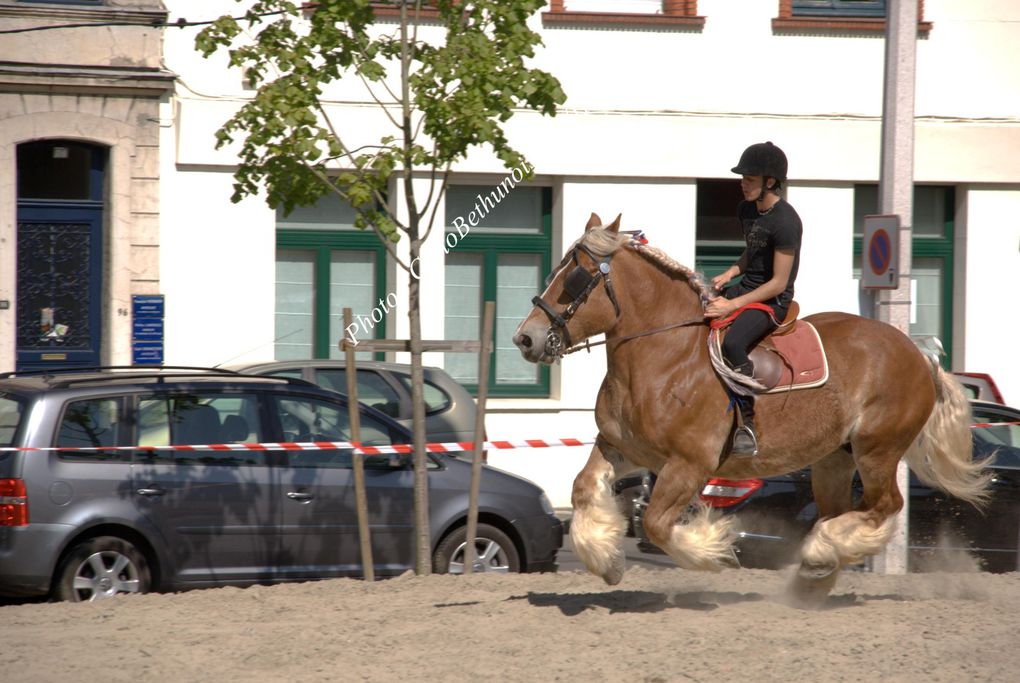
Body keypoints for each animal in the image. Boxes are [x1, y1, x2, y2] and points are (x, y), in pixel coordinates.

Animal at [514, 215, 991, 603]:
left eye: (576, 277)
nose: (525, 338)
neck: (664, 357)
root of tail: (919, 355)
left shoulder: (688, 465)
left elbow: (655, 523)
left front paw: (711, 549)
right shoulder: (623, 448)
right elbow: (582, 488)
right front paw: (608, 562)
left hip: (878, 449)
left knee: (885, 505)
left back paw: (819, 552)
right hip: (834, 459)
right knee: (843, 510)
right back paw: (815, 574)